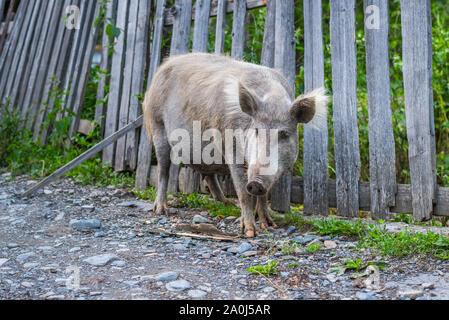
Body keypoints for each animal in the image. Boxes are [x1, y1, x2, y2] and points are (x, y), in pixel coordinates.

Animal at [144, 53, 328, 238]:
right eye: (256, 130)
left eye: (284, 134)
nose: (256, 182)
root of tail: (163, 66)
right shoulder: (232, 150)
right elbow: (243, 192)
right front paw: (250, 232)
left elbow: (264, 195)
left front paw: (269, 224)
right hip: (157, 124)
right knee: (163, 170)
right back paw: (161, 210)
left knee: (208, 174)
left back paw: (226, 204)